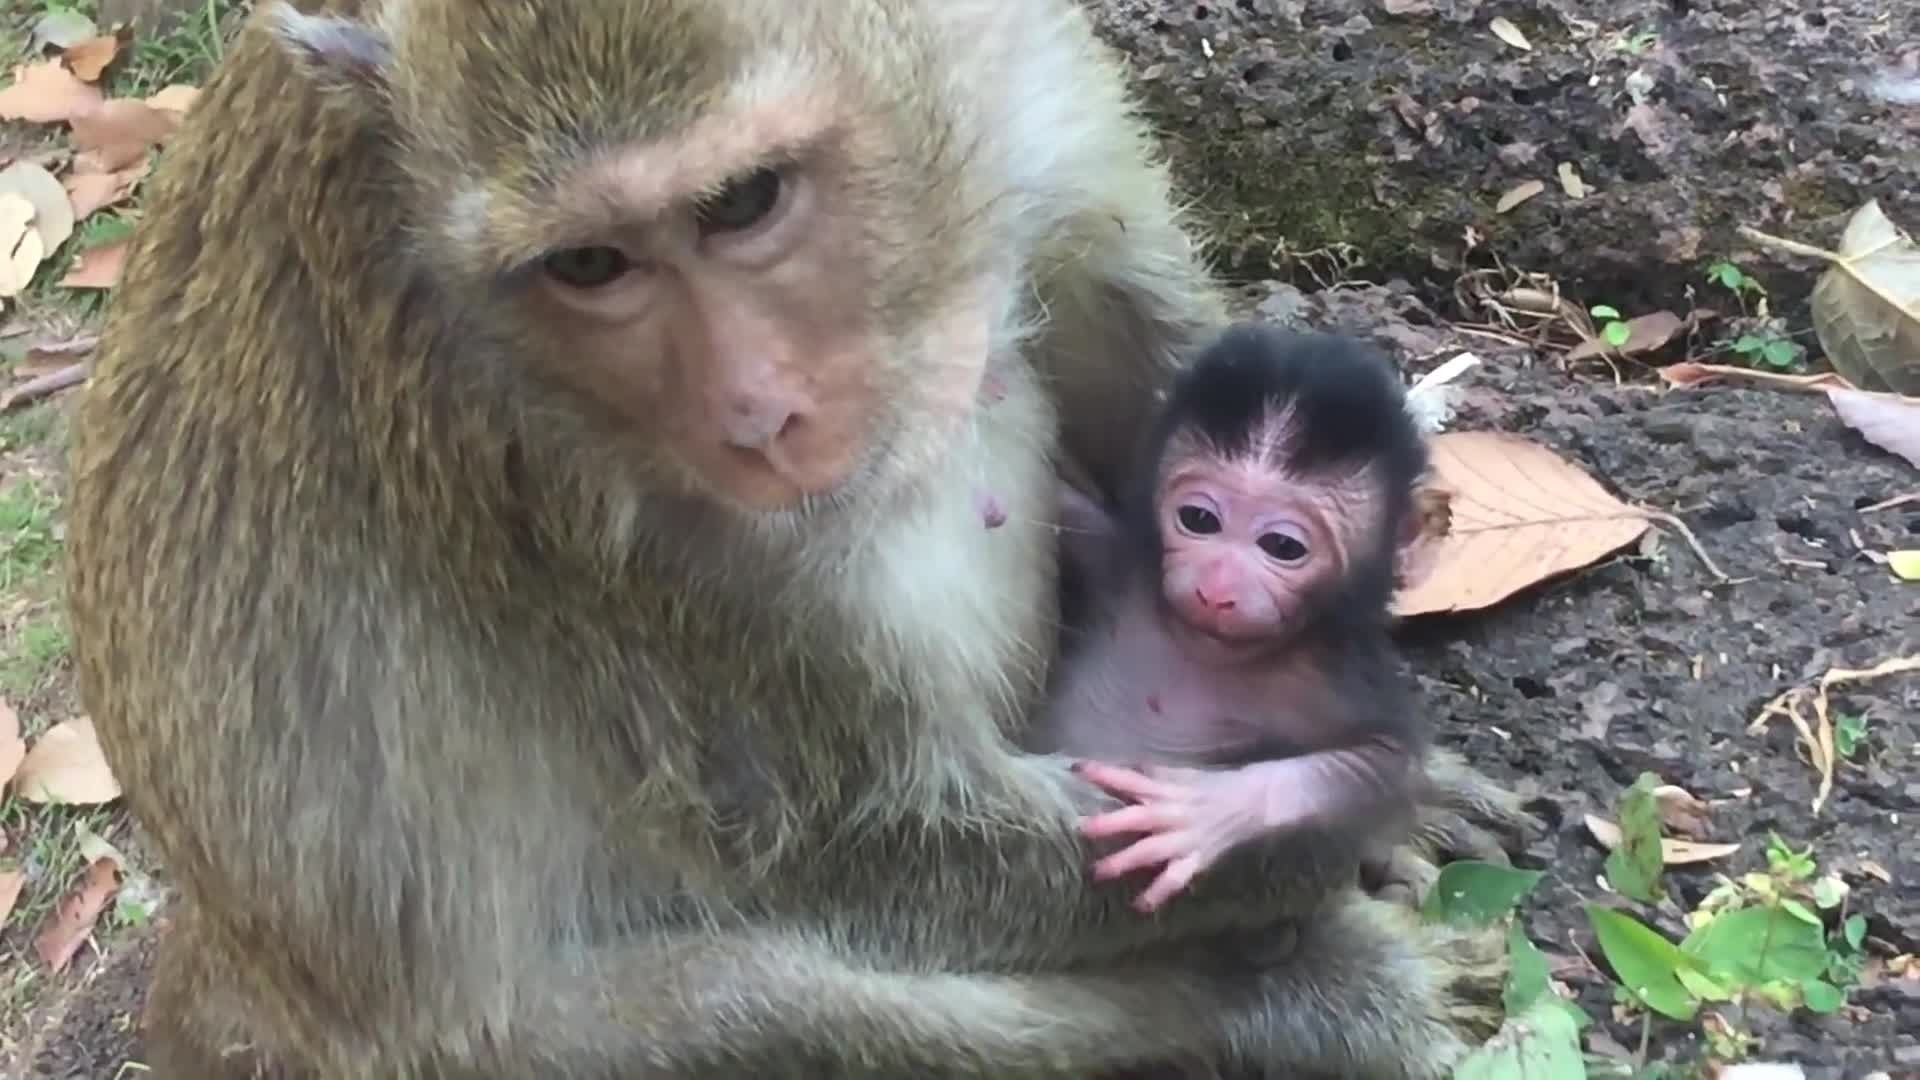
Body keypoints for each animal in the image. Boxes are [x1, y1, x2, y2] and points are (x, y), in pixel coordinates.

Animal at [1044, 326, 1436, 907]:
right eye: (1198, 518)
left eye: (1283, 546)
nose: (1217, 588)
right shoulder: (1116, 563)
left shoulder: (1331, 675)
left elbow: (1382, 767)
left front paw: (1205, 812)